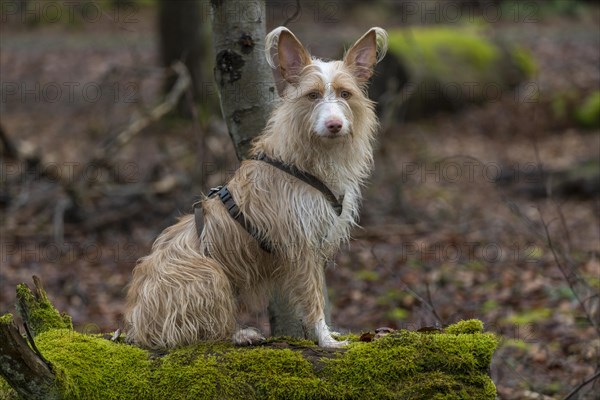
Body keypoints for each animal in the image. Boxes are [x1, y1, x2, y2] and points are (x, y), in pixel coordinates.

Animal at [126, 26, 390, 348]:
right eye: (312, 95)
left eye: (345, 94)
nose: (334, 125)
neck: (312, 161)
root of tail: (136, 326)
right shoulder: (299, 246)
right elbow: (313, 299)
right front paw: (325, 339)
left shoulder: (313, 244)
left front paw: (327, 333)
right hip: (209, 273)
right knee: (201, 335)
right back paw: (240, 334)